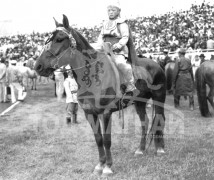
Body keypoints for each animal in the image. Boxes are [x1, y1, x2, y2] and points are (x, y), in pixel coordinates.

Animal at [34, 14, 166, 176]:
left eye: (59, 39)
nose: (38, 66)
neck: (92, 75)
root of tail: (157, 64)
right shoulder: (89, 113)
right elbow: (98, 140)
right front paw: (100, 165)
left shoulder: (106, 113)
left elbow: (107, 140)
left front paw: (108, 167)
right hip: (140, 102)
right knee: (145, 122)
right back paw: (140, 149)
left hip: (159, 98)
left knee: (159, 119)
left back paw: (160, 149)